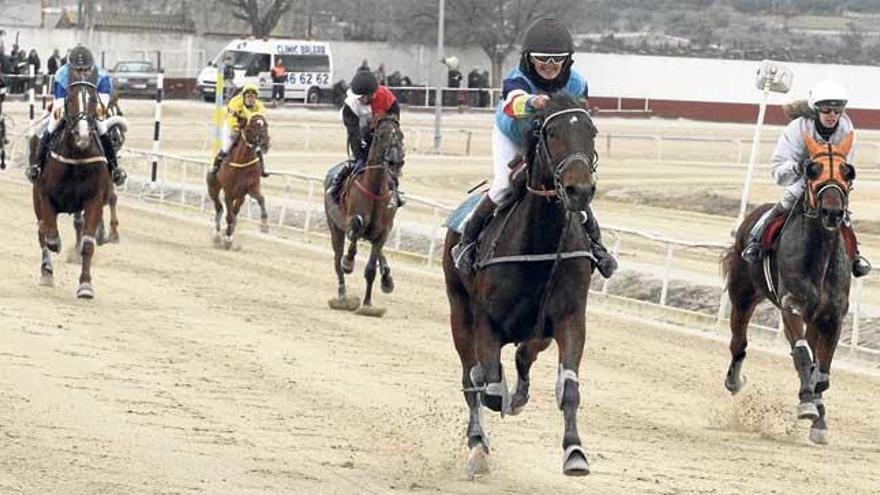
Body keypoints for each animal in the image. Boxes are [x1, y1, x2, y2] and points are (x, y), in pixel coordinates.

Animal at [32, 74, 112, 298]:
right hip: (36, 199)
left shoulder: (95, 200)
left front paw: (85, 285)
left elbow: (87, 244)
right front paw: (52, 257)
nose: (82, 135)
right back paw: (46, 272)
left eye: (93, 100)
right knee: (42, 232)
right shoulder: (45, 196)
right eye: (70, 99)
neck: (77, 155)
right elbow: (50, 238)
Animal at [207, 114, 270, 250]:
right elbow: (229, 216)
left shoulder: (251, 188)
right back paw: (217, 235)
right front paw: (228, 239)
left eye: (266, 125)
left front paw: (264, 225)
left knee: (234, 211)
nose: (265, 144)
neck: (242, 161)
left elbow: (261, 199)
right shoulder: (229, 193)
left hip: (241, 196)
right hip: (212, 189)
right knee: (219, 207)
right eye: (251, 128)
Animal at [324, 114, 406, 318]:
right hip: (334, 227)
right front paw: (349, 262)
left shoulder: (383, 231)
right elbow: (356, 226)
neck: (375, 189)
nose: (396, 162)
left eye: (401, 135)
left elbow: (370, 270)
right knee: (337, 260)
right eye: (381, 135)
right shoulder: (350, 220)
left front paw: (368, 304)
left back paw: (387, 279)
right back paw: (343, 297)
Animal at [444, 95, 600, 478]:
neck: (539, 244)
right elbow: (486, 386)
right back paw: (478, 443)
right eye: (551, 132)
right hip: (458, 311)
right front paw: (482, 438)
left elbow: (568, 387)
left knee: (525, 352)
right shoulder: (485, 322)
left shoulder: (571, 317)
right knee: (471, 379)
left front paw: (574, 452)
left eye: (591, 131)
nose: (579, 190)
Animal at [720, 133, 860, 446]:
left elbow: (822, 370)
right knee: (739, 342)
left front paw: (819, 419)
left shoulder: (832, 317)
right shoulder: (791, 305)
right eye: (812, 170)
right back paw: (734, 381)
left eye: (848, 172)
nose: (832, 212)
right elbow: (803, 355)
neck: (820, 258)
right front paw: (807, 404)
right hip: (743, 294)